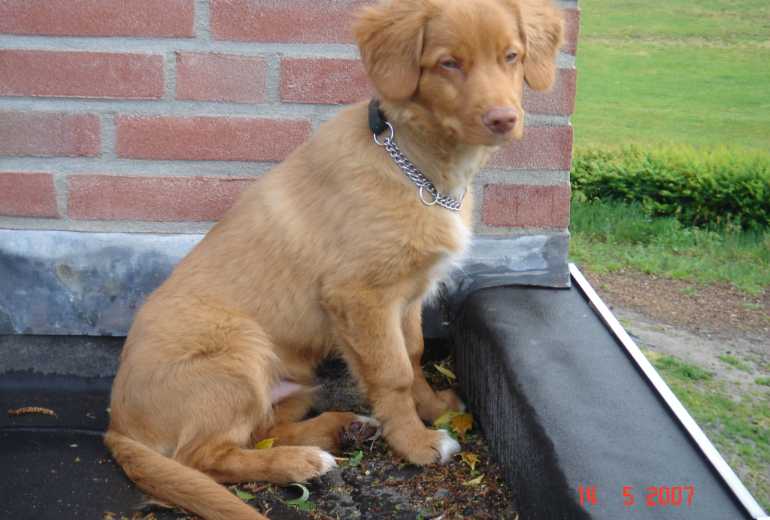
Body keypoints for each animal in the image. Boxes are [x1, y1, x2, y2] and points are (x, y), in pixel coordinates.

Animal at [105, 1, 560, 520]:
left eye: (512, 56)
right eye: (448, 63)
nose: (504, 119)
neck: (416, 165)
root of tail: (117, 425)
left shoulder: (406, 297)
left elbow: (414, 354)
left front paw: (432, 409)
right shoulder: (361, 296)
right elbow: (393, 373)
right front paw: (417, 443)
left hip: (290, 382)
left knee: (259, 434)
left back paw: (340, 431)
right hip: (238, 351)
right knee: (204, 457)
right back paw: (301, 462)